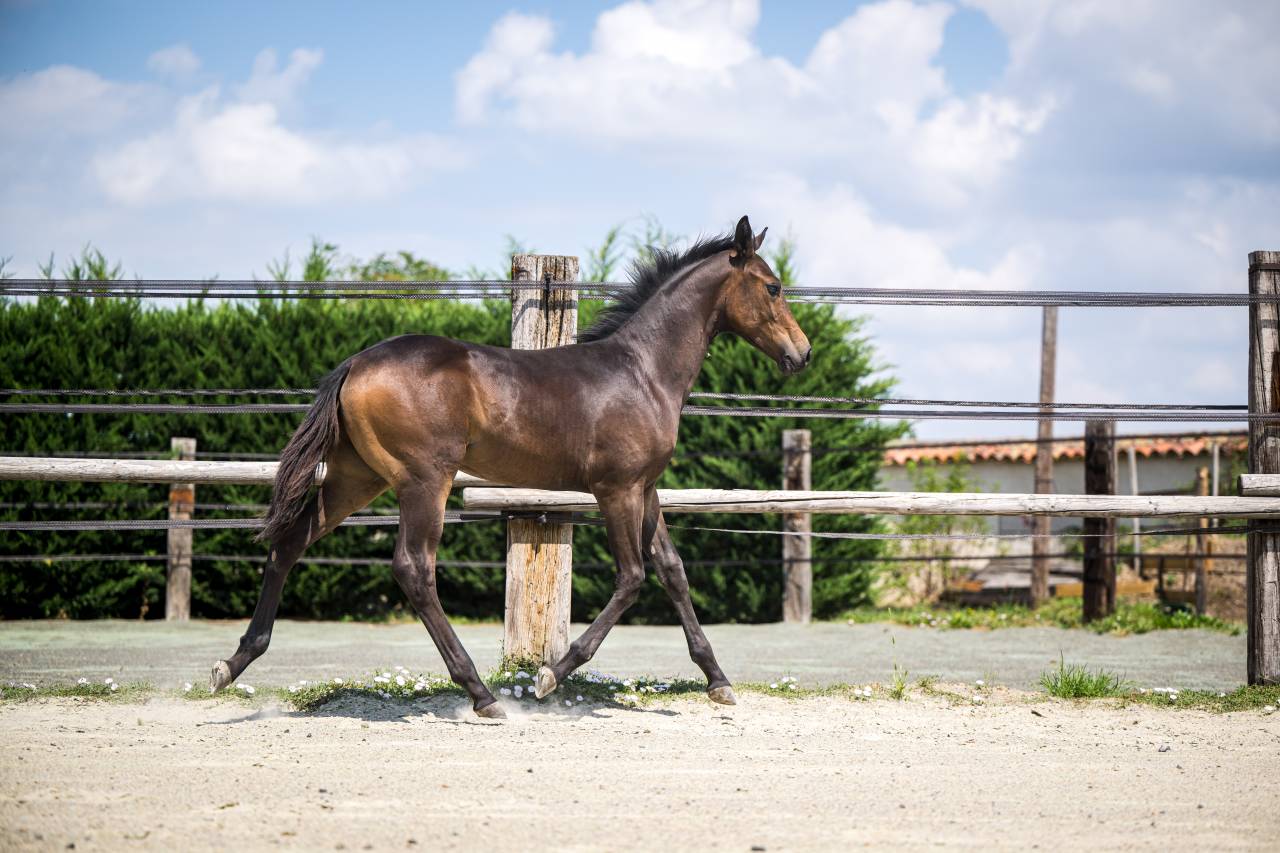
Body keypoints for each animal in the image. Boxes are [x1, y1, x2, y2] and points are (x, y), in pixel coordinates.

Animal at [209, 215, 812, 718]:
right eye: (773, 286)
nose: (802, 354)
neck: (643, 371)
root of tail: (356, 363)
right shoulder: (615, 489)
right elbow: (632, 577)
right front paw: (550, 676)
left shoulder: (647, 488)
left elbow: (673, 570)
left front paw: (718, 681)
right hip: (424, 480)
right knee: (413, 568)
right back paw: (481, 693)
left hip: (358, 477)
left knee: (290, 542)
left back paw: (232, 664)